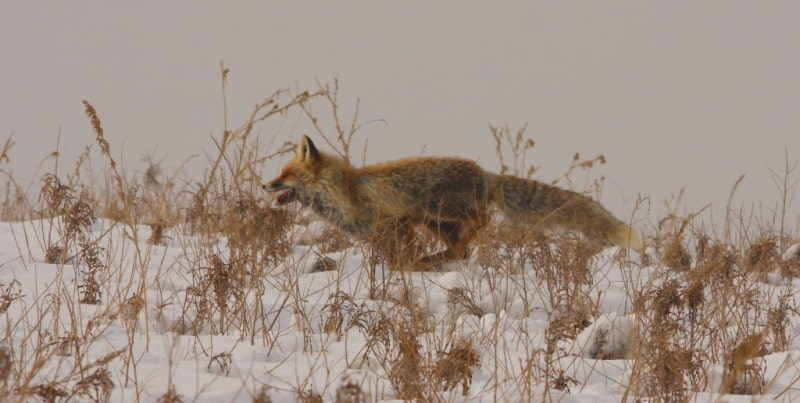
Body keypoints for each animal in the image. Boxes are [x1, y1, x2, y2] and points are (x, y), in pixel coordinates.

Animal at [266, 136, 640, 272]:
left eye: (285, 174)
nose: (264, 184)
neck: (345, 191)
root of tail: (484, 173)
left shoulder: (398, 220)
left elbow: (401, 259)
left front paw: (410, 268)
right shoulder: (381, 232)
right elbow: (395, 258)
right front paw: (412, 267)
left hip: (437, 210)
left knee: (483, 220)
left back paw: (437, 258)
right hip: (435, 221)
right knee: (462, 248)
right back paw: (440, 258)